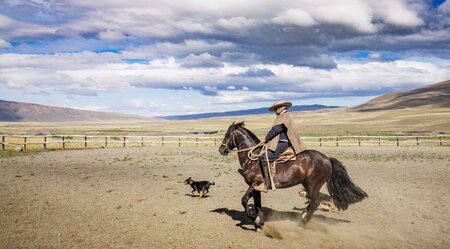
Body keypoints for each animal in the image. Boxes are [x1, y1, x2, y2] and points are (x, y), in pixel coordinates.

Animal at [219, 121, 370, 229]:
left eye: (227, 135)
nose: (221, 149)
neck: (253, 159)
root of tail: (327, 159)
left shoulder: (254, 184)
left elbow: (244, 200)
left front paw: (253, 218)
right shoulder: (257, 188)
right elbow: (257, 204)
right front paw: (259, 221)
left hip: (313, 185)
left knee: (315, 203)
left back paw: (302, 223)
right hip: (308, 185)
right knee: (313, 202)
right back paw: (302, 216)